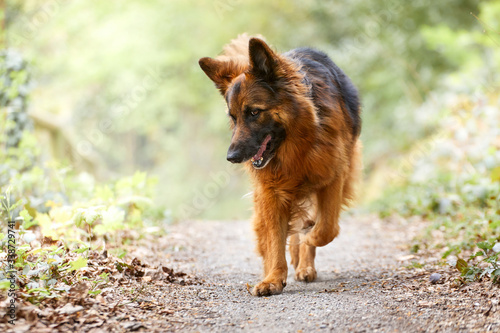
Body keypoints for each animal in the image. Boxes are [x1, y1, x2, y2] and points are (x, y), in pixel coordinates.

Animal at [197, 34, 362, 296]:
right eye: (233, 117)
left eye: (254, 112)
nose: (232, 157)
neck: (297, 146)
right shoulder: (271, 192)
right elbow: (275, 237)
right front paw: (273, 278)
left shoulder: (333, 177)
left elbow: (326, 228)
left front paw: (309, 239)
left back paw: (305, 262)